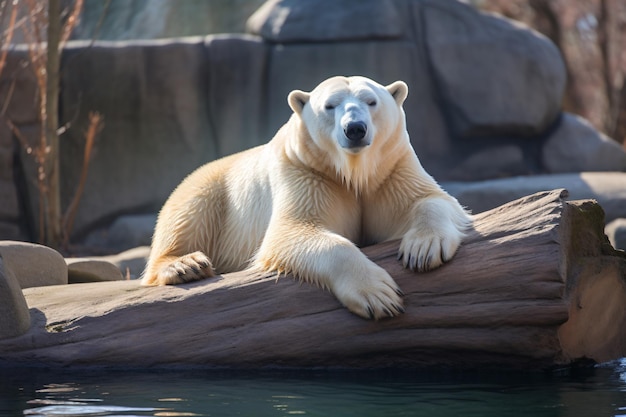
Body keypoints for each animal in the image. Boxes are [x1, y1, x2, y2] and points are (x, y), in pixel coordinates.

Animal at [143, 75, 468, 318]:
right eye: (330, 105)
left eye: (371, 101)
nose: (355, 129)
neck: (351, 172)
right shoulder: (306, 173)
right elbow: (294, 231)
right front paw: (379, 294)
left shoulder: (391, 168)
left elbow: (430, 199)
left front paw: (423, 249)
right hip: (210, 188)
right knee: (188, 215)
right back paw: (185, 265)